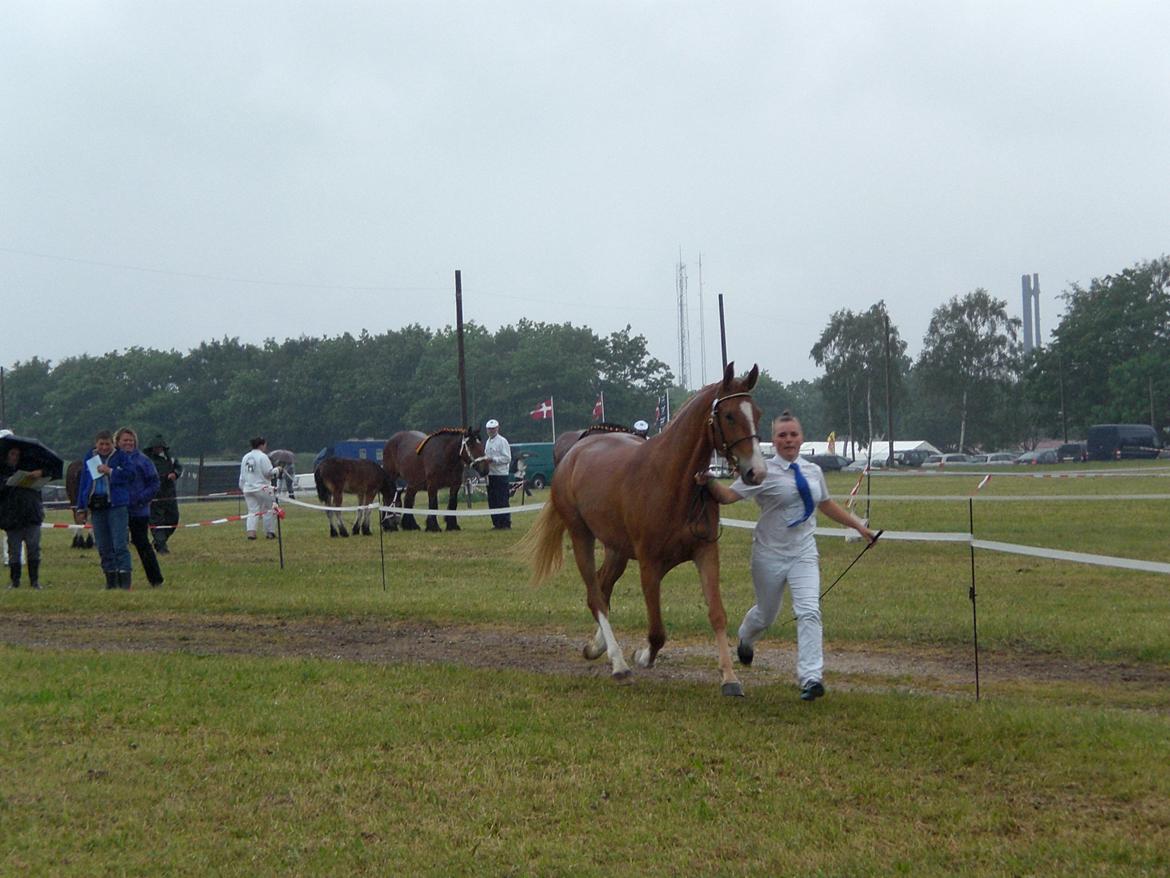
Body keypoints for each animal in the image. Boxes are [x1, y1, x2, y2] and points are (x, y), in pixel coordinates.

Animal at [521, 360, 767, 697]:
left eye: (757, 413)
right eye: (729, 415)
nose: (756, 471)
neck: (673, 480)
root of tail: (573, 451)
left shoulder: (705, 553)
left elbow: (717, 614)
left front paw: (730, 678)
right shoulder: (650, 564)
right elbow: (657, 631)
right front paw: (642, 656)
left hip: (616, 549)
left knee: (602, 587)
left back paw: (597, 647)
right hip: (581, 535)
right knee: (596, 595)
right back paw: (618, 664)